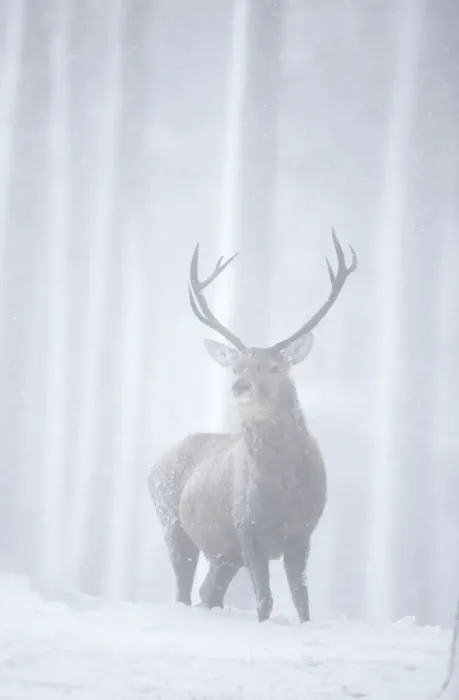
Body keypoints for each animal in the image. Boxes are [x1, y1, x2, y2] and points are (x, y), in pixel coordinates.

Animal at [148, 230, 357, 623]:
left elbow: (302, 603)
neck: (284, 488)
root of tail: (155, 464)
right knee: (185, 589)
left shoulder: (302, 532)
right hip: (173, 523)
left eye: (275, 367)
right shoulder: (247, 528)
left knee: (209, 592)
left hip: (222, 552)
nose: (239, 386)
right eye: (237, 367)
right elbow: (265, 602)